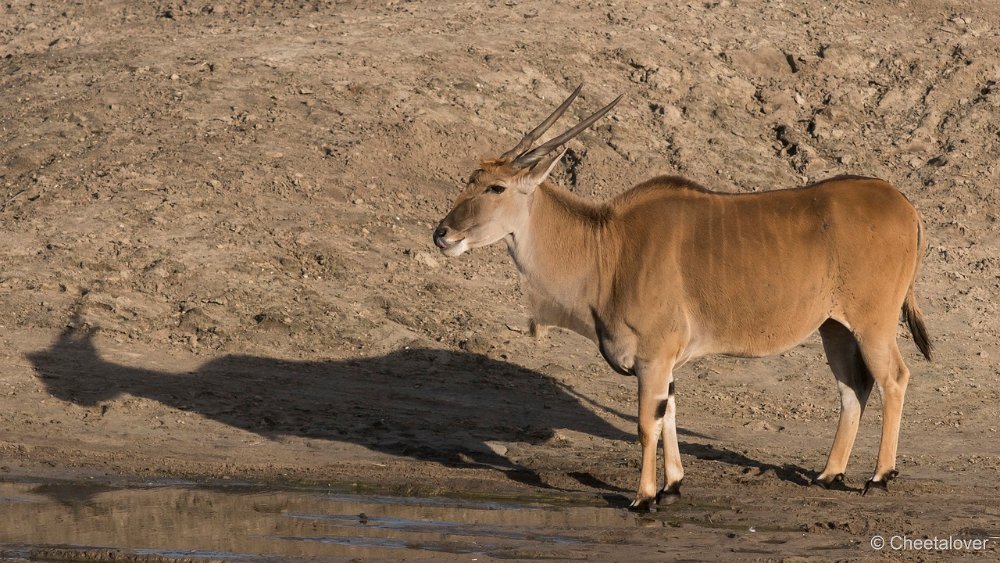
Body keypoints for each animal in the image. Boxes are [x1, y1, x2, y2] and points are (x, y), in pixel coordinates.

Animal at [434, 86, 932, 512]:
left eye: (495, 187)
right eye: (471, 180)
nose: (443, 233)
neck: (610, 247)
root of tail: (904, 203)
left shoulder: (654, 356)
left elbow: (645, 424)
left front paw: (643, 498)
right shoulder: (664, 362)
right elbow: (668, 412)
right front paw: (672, 486)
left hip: (873, 323)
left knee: (894, 378)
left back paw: (879, 477)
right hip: (835, 327)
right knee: (853, 388)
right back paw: (829, 474)